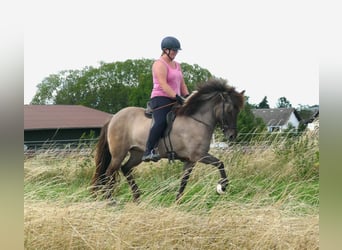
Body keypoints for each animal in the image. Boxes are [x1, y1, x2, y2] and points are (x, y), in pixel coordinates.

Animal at [92, 79, 244, 202]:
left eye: (237, 111)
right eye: (229, 110)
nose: (232, 136)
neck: (196, 120)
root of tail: (113, 117)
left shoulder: (190, 160)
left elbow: (184, 181)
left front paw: (177, 202)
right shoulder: (199, 155)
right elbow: (220, 163)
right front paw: (222, 186)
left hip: (137, 154)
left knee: (125, 168)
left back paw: (136, 196)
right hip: (118, 154)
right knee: (108, 173)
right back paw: (110, 199)